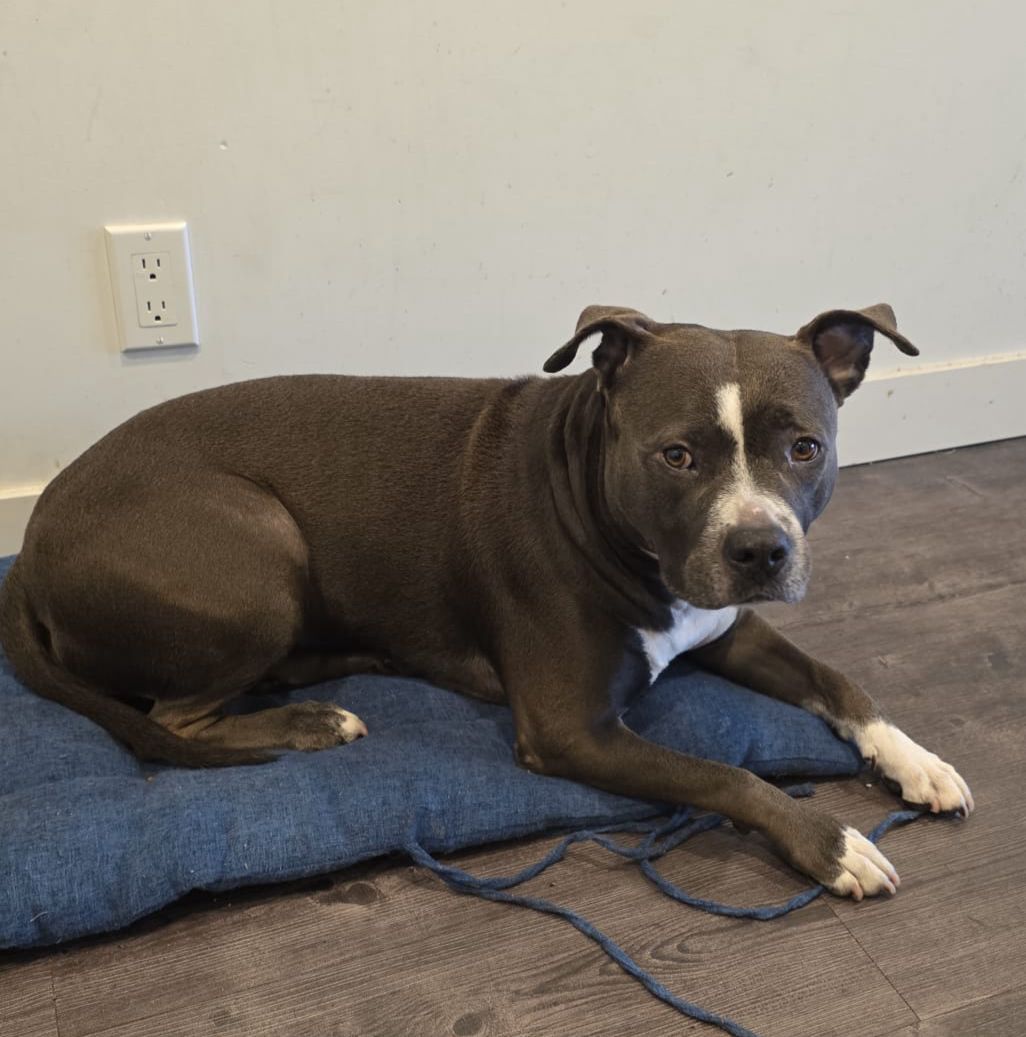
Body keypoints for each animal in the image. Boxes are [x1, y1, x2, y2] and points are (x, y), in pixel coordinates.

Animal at [0, 303, 972, 899]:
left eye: (805, 448)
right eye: (677, 455)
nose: (761, 548)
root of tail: (33, 542)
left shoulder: (722, 625)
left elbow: (839, 680)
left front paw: (916, 758)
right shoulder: (572, 729)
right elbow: (727, 773)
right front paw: (830, 842)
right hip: (258, 544)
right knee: (177, 718)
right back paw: (313, 720)